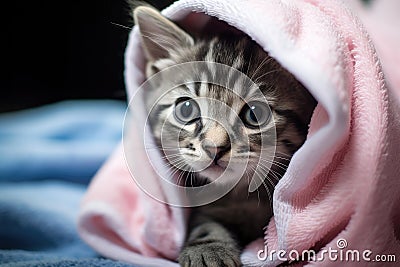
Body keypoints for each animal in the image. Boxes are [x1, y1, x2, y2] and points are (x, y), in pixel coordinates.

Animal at [133, 5, 318, 266]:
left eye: (254, 113)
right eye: (186, 109)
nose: (214, 147)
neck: (240, 195)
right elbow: (206, 223)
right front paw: (208, 249)